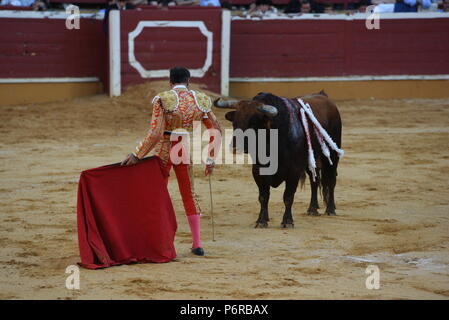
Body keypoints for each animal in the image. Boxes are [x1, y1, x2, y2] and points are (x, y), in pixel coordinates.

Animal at [215, 91, 342, 229]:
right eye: (235, 123)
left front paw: (287, 221)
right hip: (311, 159)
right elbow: (263, 197)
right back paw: (312, 209)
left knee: (331, 180)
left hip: (332, 155)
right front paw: (261, 220)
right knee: (315, 180)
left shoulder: (293, 172)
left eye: (253, 124)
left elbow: (288, 196)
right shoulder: (258, 171)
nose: (235, 147)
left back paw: (330, 209)